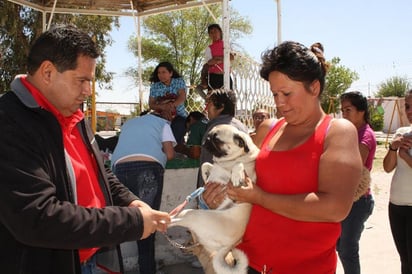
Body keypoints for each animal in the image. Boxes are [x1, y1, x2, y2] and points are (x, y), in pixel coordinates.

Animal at [169, 124, 260, 274]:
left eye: (217, 140)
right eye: (210, 135)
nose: (206, 140)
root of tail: (228, 247)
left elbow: (239, 165)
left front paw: (236, 174)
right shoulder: (212, 166)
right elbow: (206, 164)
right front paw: (206, 177)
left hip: (195, 215)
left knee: (176, 220)